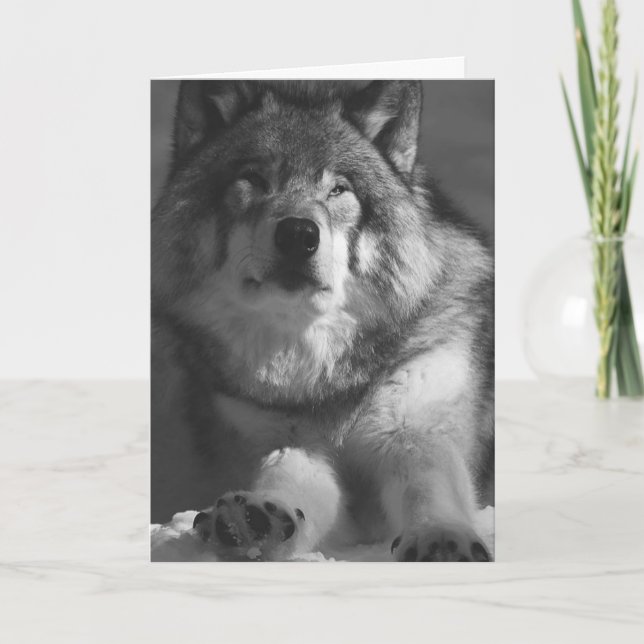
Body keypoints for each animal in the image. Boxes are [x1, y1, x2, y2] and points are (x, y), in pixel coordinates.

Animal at [151, 80, 493, 561]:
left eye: (338, 190)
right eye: (254, 180)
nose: (298, 233)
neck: (320, 379)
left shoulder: (415, 425)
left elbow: (429, 478)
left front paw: (442, 535)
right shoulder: (283, 438)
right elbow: (288, 475)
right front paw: (253, 518)